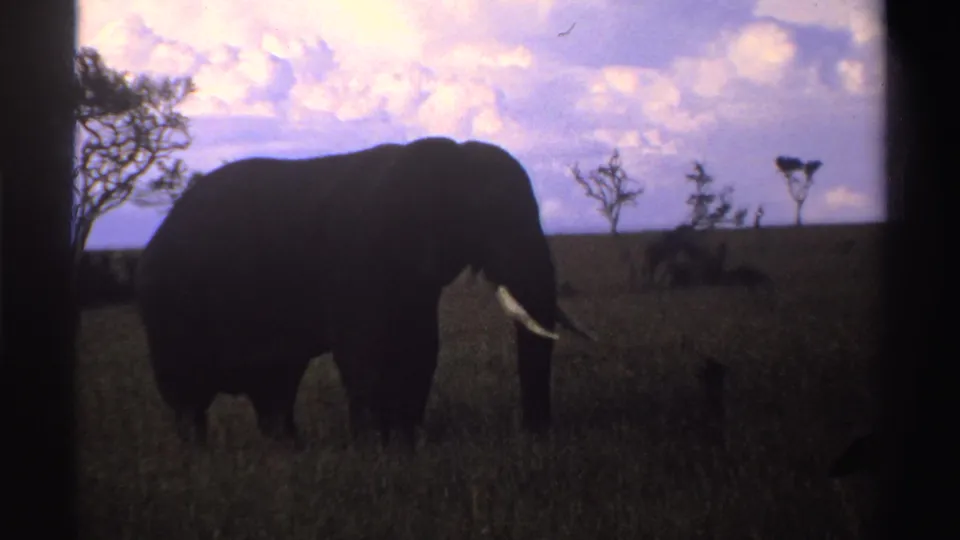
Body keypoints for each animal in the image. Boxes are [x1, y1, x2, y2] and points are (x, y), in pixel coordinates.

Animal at [135, 136, 595, 449]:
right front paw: (376, 450)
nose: (536, 434)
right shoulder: (358, 256)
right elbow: (364, 351)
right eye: (494, 220)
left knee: (275, 388)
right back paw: (199, 457)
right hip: (169, 307)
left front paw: (406, 445)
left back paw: (291, 451)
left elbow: (420, 348)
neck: (449, 159)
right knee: (188, 398)